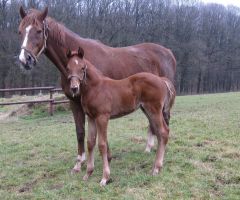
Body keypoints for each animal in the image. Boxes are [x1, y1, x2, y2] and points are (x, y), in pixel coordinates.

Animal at [66, 48, 175, 186]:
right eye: (67, 68)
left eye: (82, 67)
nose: (74, 88)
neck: (95, 87)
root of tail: (161, 80)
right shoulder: (91, 117)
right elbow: (90, 142)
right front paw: (88, 174)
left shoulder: (102, 117)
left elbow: (102, 144)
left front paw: (105, 178)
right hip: (150, 111)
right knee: (161, 132)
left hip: (154, 110)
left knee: (163, 132)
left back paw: (156, 168)